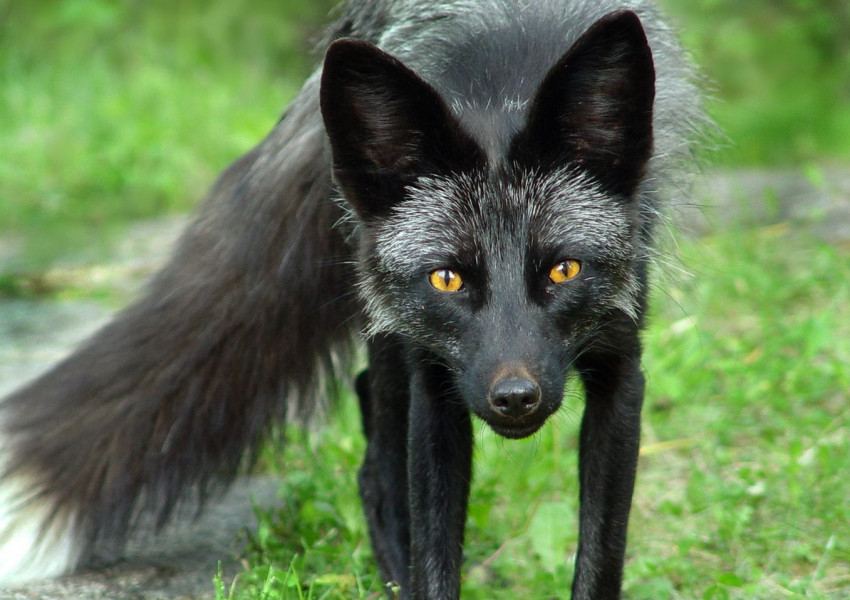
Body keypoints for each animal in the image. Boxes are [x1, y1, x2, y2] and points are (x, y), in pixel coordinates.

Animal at [0, 1, 704, 600]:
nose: (514, 398)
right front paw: (419, 571)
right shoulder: (435, 381)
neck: (504, 78)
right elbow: (434, 555)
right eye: (447, 279)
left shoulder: (621, 370)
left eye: (563, 270)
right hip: (394, 335)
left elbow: (599, 559)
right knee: (376, 449)